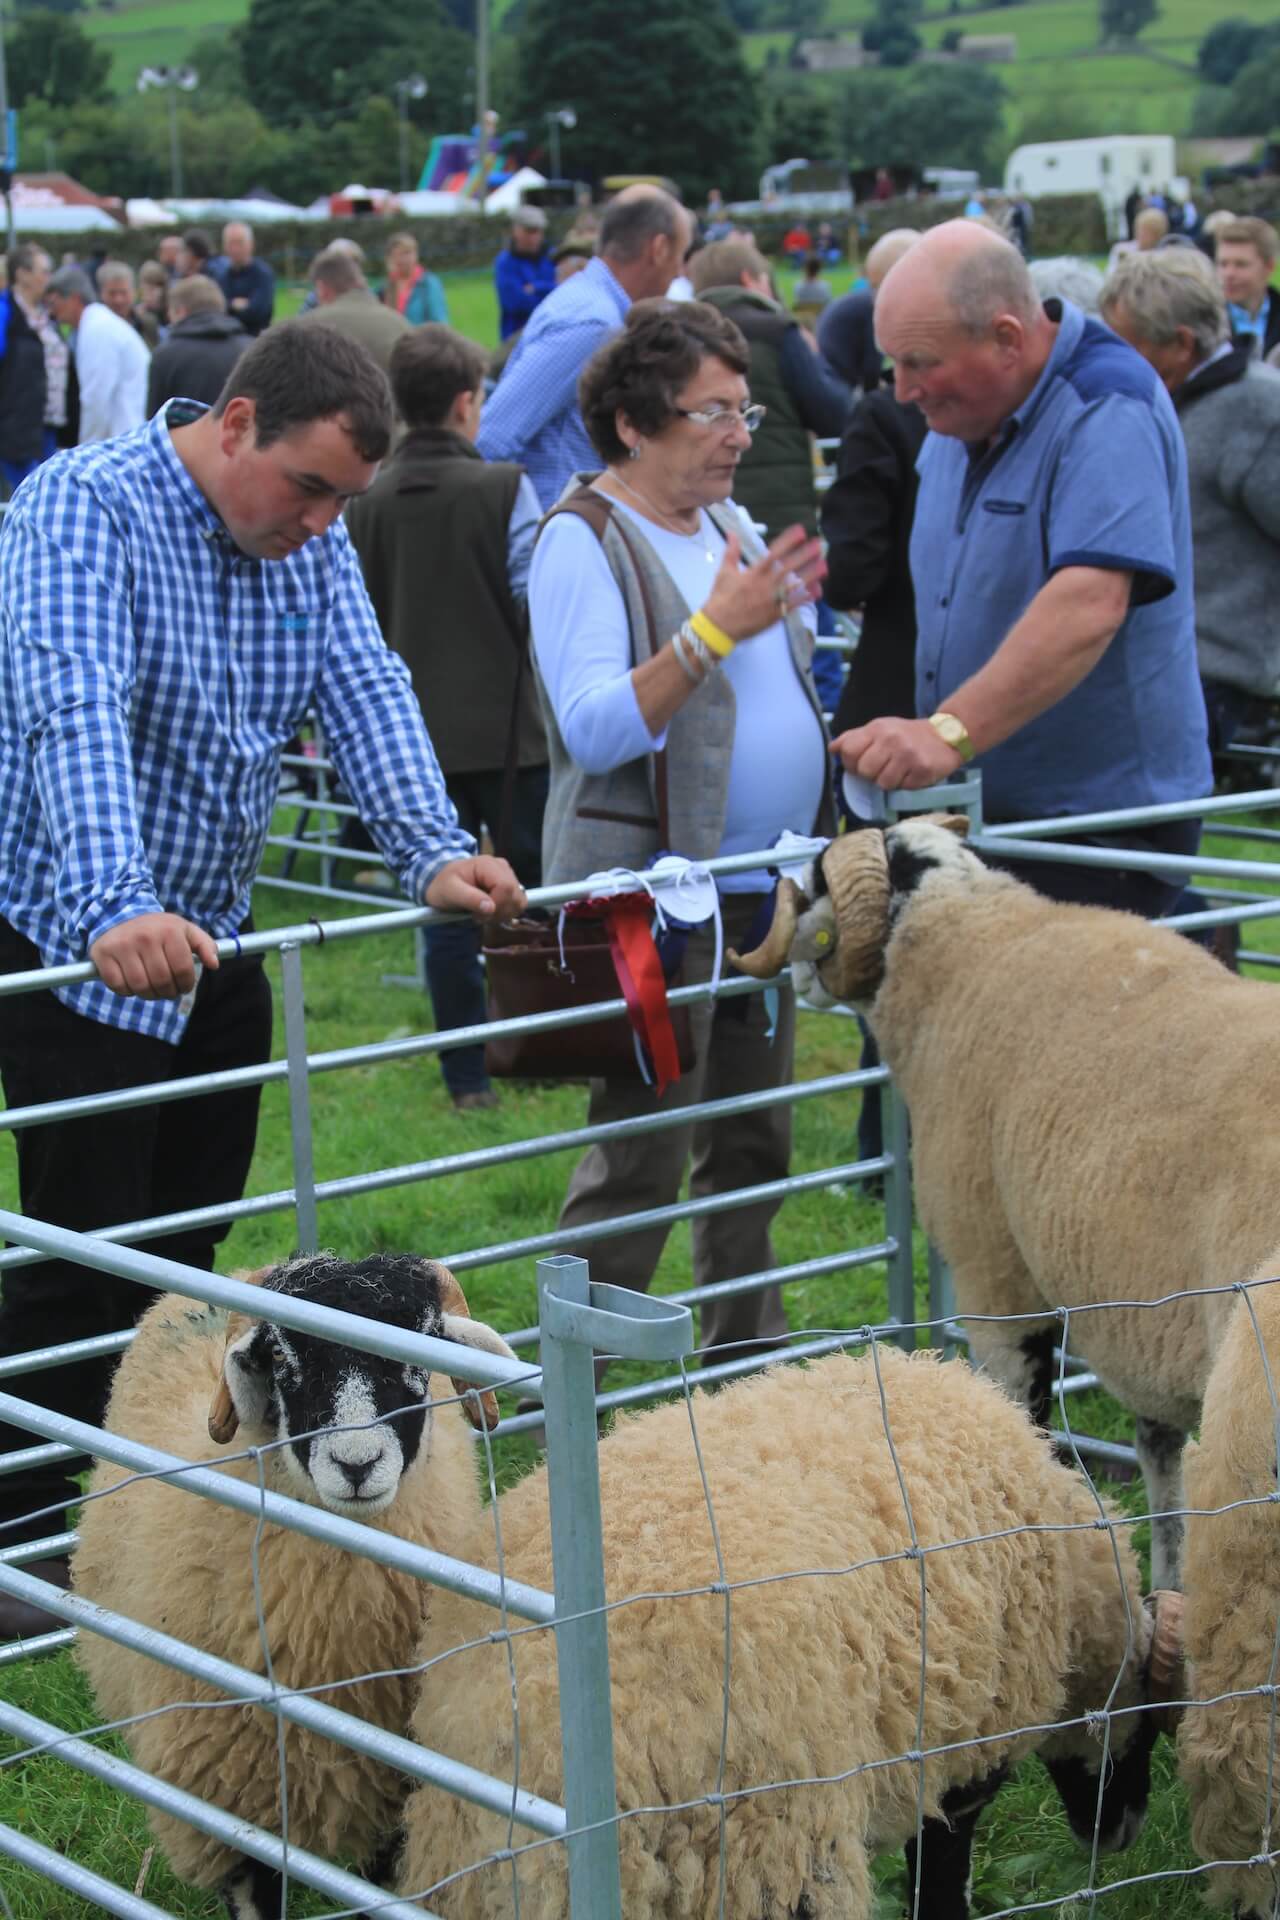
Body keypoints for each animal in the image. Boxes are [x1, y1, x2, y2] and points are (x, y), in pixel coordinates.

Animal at [729, 814, 1280, 1591]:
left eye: (810, 888)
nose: (792, 976)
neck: (970, 947)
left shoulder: (995, 1272)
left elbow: (1025, 1420)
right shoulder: (1137, 1309)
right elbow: (1161, 1452)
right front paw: (1164, 1583)